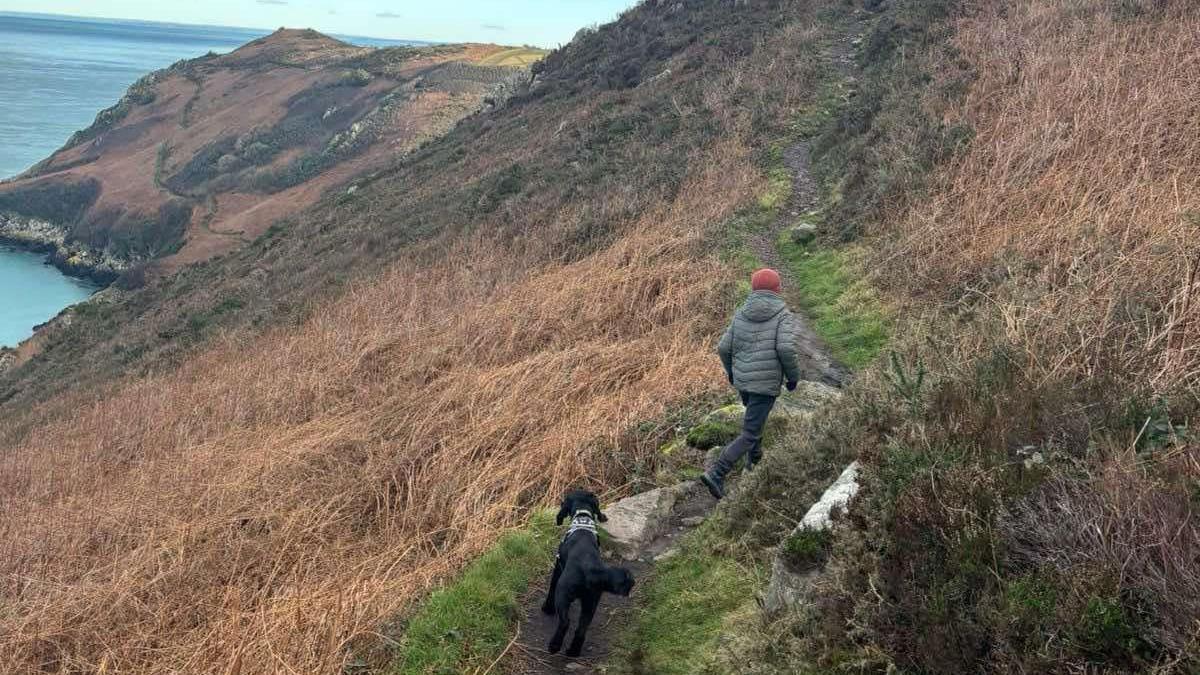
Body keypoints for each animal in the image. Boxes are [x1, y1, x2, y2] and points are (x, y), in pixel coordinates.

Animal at [544, 485, 638, 653]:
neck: (583, 520)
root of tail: (590, 571)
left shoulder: (558, 567)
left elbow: (551, 588)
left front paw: (546, 608)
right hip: (591, 603)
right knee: (581, 629)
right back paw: (573, 652)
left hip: (563, 595)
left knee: (565, 622)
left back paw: (554, 646)